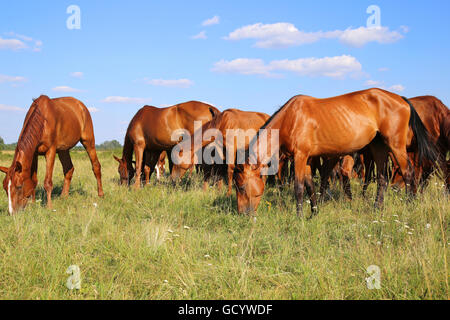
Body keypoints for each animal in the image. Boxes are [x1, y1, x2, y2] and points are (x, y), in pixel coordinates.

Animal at [232, 89, 436, 216]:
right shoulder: (307, 160)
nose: (242, 214)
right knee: (383, 179)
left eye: (240, 187)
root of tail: (400, 98)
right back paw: (377, 208)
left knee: (408, 173)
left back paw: (409, 205)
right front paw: (313, 213)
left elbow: (299, 187)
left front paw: (299, 217)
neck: (291, 118)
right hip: (379, 147)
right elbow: (310, 185)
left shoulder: (300, 157)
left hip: (395, 145)